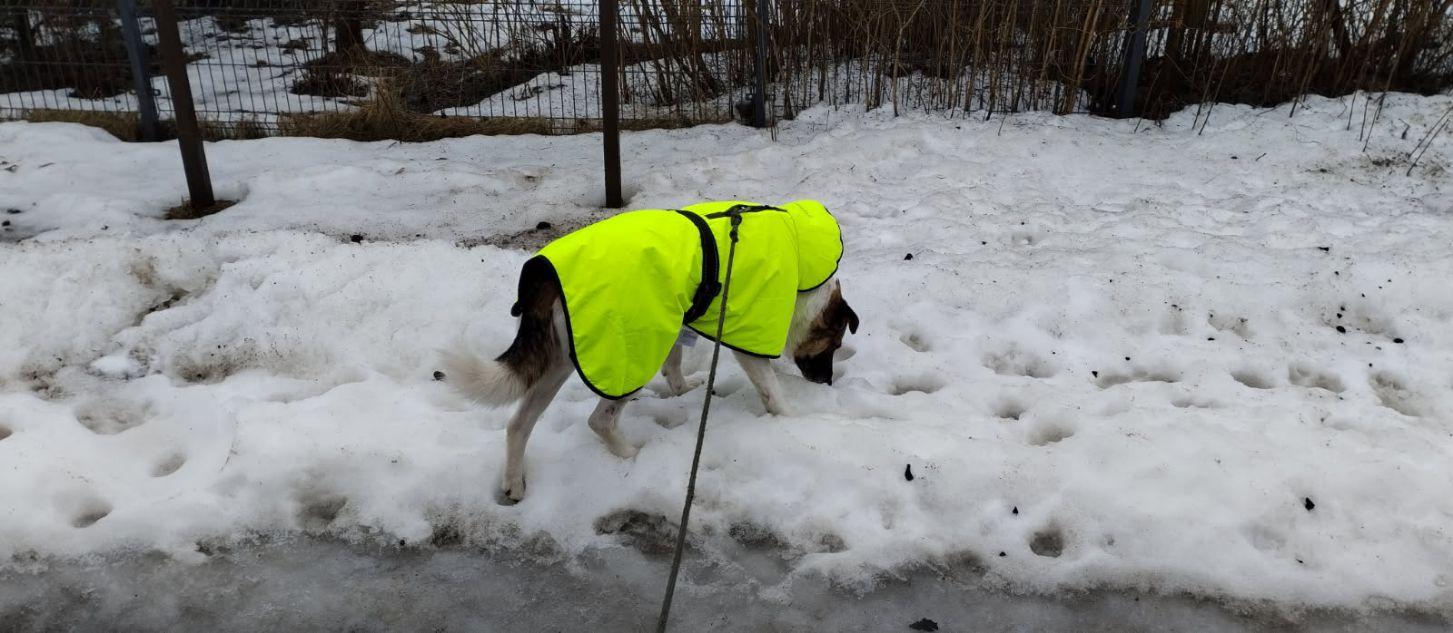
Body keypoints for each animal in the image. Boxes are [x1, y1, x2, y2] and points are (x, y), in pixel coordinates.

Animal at [441, 200, 858, 502]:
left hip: (562, 359)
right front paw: (795, 420)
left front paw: (682, 388)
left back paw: (514, 482)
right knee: (600, 420)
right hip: (628, 355)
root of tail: (545, 277)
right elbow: (772, 393)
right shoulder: (748, 336)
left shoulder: (675, 321)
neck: (802, 263)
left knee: (518, 423)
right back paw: (631, 456)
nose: (827, 383)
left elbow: (674, 368)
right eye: (835, 346)